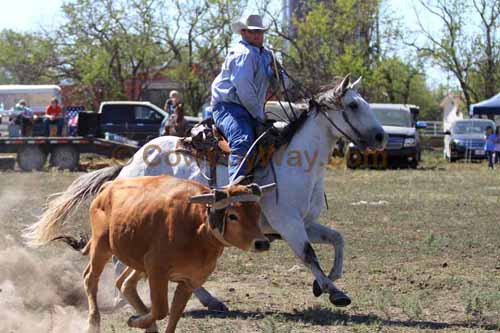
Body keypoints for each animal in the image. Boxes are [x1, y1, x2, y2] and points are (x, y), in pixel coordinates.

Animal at [24, 74, 386, 312]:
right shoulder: (289, 224)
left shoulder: (305, 223)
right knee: (122, 261)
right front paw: (334, 291)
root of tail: (128, 167)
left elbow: (337, 239)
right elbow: (309, 255)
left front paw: (326, 281)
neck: (294, 162)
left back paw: (206, 300)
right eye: (354, 104)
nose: (382, 136)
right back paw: (127, 301)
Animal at [74, 175, 272, 330]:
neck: (197, 229)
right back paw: (93, 322)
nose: (261, 243)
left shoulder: (189, 281)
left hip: (138, 260)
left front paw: (141, 321)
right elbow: (162, 310)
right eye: (232, 216)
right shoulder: (157, 269)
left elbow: (174, 314)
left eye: (257, 212)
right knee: (90, 278)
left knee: (125, 283)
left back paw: (148, 326)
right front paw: (135, 321)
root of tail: (109, 187)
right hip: (101, 245)